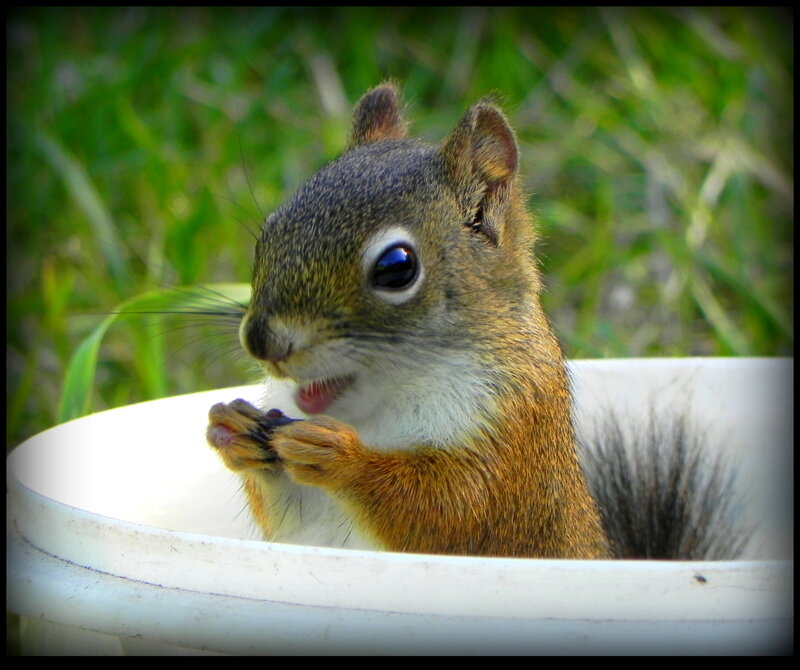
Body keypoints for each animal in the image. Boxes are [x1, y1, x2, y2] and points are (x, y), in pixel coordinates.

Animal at [206, 83, 747, 560]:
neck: (377, 407)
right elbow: (285, 516)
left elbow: (448, 510)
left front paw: (339, 455)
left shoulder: (509, 440)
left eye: (397, 268)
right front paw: (233, 430)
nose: (261, 341)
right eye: (267, 234)